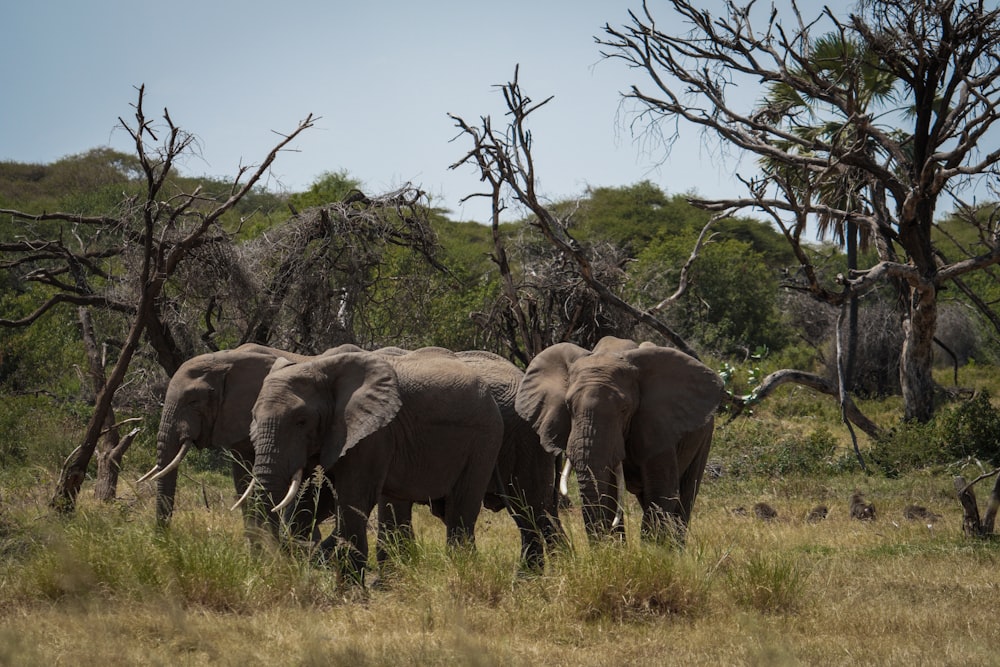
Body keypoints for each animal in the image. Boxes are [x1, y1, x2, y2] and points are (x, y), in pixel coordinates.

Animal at [246, 348, 504, 580]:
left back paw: (462, 570)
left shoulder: (373, 435)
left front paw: (350, 589)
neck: (320, 365)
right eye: (254, 417)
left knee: (460, 509)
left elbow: (354, 500)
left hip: (485, 439)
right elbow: (313, 498)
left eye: (301, 421)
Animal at [520, 336, 724, 544]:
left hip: (705, 435)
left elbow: (660, 491)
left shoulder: (657, 425)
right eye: (568, 407)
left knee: (685, 495)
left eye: (624, 410)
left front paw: (654, 550)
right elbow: (609, 493)